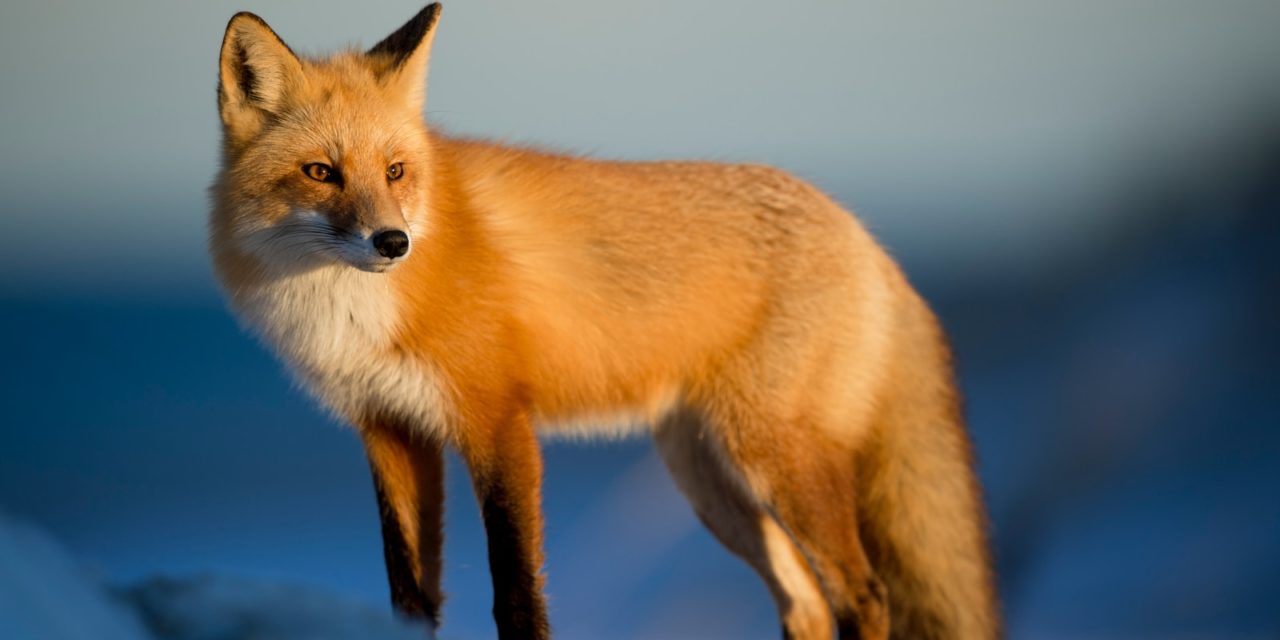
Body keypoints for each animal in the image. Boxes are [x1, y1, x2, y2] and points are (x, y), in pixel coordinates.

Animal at [209, 6, 998, 640]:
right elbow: (409, 596)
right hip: (712, 483)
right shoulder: (390, 431)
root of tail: (865, 235)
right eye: (321, 172)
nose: (392, 242)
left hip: (775, 461)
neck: (352, 314)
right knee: (804, 603)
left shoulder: (498, 423)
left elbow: (516, 596)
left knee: (862, 595)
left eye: (396, 171)